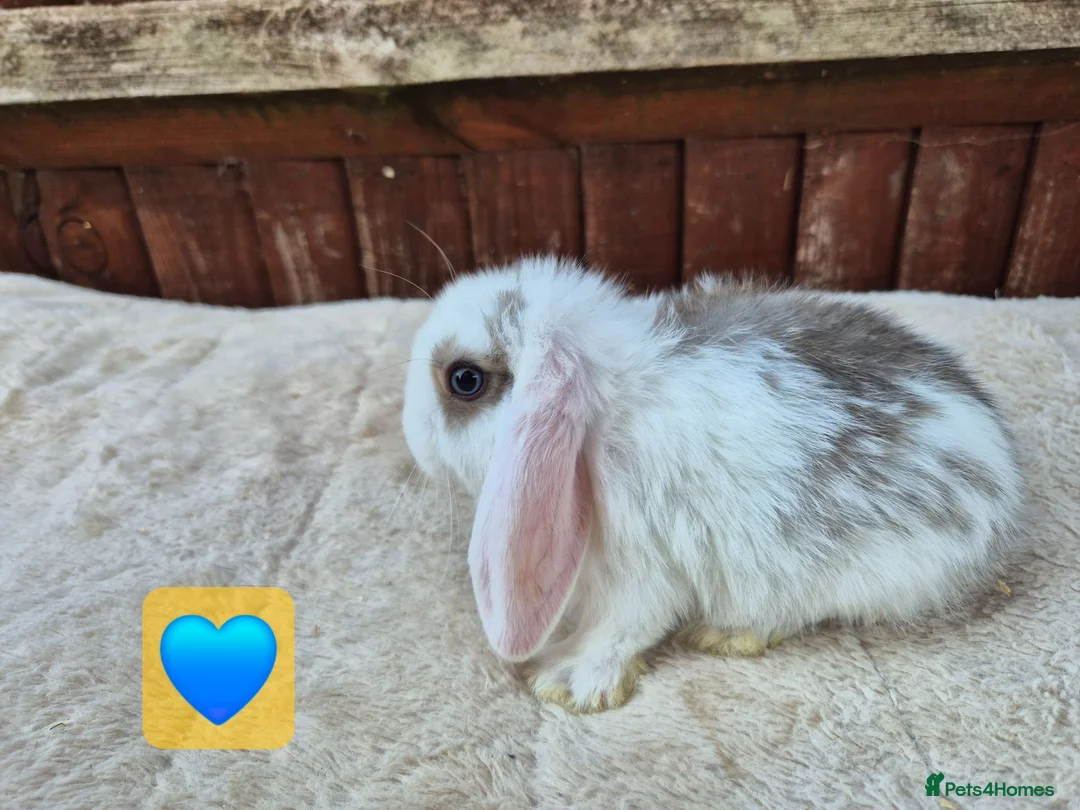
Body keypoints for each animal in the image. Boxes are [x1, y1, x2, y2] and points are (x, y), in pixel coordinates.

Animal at [401, 255, 1026, 713]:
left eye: (464, 380)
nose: (410, 435)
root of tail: (1006, 481)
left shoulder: (640, 569)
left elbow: (623, 627)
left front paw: (567, 679)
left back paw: (726, 635)